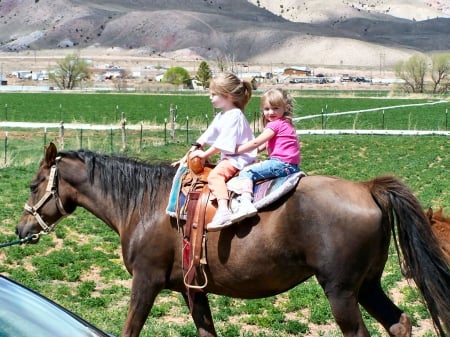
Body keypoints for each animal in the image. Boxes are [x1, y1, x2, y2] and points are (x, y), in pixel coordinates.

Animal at [14, 142, 450, 336]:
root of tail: (366, 188)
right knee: (400, 324)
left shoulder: (146, 281)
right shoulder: (192, 289)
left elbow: (131, 328)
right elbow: (207, 330)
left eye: (34, 184)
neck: (143, 205)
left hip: (341, 292)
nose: (20, 230)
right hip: (367, 286)